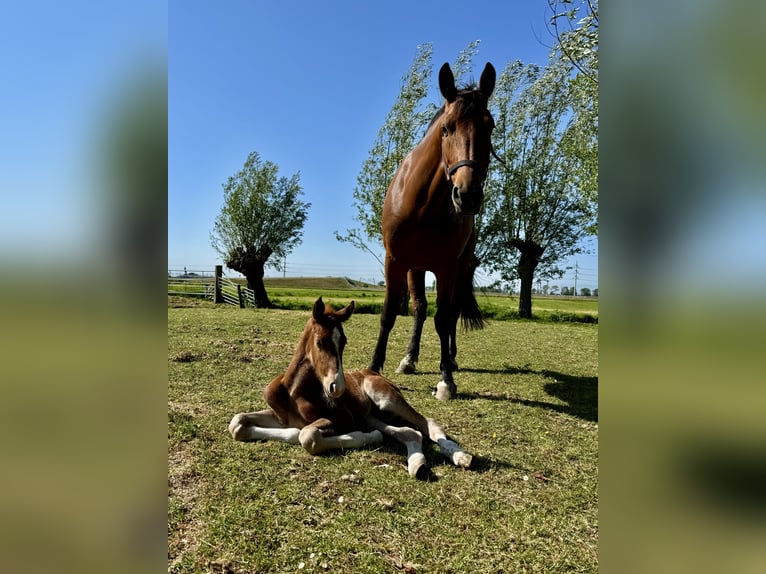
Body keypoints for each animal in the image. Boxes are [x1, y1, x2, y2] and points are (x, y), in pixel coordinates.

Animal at [228, 297, 472, 479]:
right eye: (320, 342)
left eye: (344, 342)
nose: (337, 387)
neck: (293, 393)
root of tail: (375, 374)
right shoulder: (279, 415)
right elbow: (237, 423)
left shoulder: (342, 419)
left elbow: (306, 435)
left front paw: (362, 437)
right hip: (371, 416)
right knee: (409, 432)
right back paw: (417, 464)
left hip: (385, 398)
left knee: (426, 422)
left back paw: (460, 456)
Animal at [369, 62, 496, 400]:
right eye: (446, 128)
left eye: (490, 127)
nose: (467, 196)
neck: (423, 204)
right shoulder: (395, 261)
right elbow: (389, 313)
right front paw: (373, 368)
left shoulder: (447, 267)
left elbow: (443, 318)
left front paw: (446, 379)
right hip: (416, 267)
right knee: (419, 309)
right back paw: (409, 358)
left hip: (458, 267)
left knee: (449, 314)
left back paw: (449, 359)